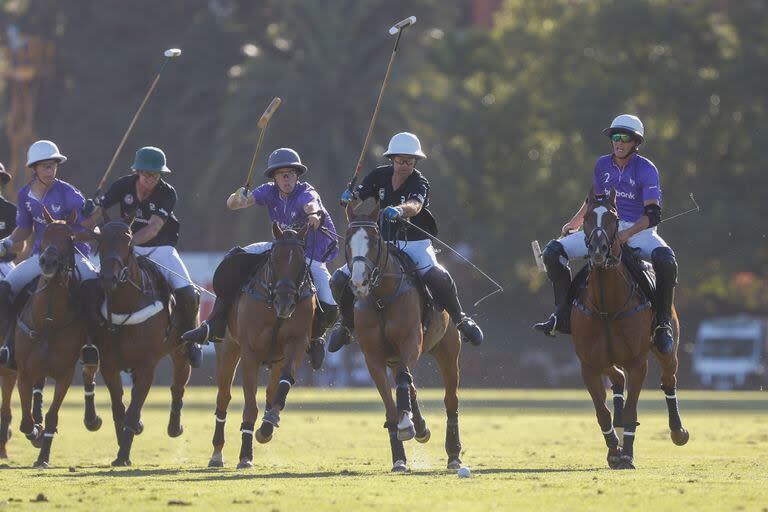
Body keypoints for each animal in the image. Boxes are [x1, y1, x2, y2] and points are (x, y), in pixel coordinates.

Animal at [14, 209, 89, 468]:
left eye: (70, 237)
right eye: (45, 233)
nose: (48, 262)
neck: (48, 321)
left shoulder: (65, 374)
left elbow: (52, 416)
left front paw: (43, 456)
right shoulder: (24, 372)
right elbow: (26, 421)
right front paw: (35, 434)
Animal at [89, 218, 192, 466]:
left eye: (128, 240)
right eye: (100, 240)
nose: (109, 278)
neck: (127, 304)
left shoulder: (147, 366)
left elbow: (133, 409)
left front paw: (123, 455)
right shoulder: (109, 366)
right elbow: (119, 409)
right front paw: (122, 449)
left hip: (181, 349)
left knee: (178, 385)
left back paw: (175, 427)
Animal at [207, 222, 316, 470]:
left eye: (301, 260)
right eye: (274, 259)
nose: (285, 302)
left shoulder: (296, 343)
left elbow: (283, 385)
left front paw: (267, 426)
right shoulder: (250, 353)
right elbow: (250, 407)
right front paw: (245, 456)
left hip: (276, 359)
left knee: (271, 392)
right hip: (228, 350)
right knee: (223, 398)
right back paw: (217, 453)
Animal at [344, 199, 462, 472]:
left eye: (375, 240)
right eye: (346, 240)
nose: (359, 283)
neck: (380, 298)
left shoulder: (411, 342)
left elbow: (403, 382)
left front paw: (406, 424)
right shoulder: (373, 357)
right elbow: (390, 404)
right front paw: (399, 456)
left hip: (448, 349)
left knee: (450, 399)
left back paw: (453, 453)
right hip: (394, 358)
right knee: (410, 386)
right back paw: (420, 427)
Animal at [568, 190, 688, 470]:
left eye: (613, 217)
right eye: (587, 217)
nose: (598, 251)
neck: (606, 306)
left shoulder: (637, 362)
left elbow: (632, 410)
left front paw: (628, 454)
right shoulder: (588, 364)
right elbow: (602, 412)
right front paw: (614, 449)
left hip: (667, 350)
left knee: (669, 380)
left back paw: (678, 432)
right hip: (606, 359)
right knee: (618, 379)